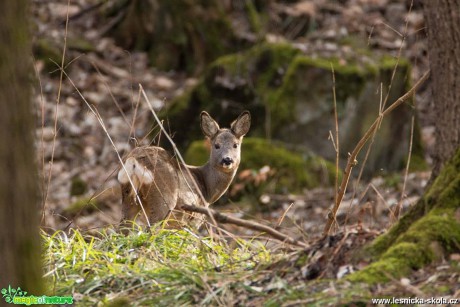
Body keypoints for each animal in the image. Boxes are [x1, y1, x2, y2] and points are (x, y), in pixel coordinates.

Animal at [117, 110, 250, 229]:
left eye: (235, 145)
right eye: (216, 145)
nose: (227, 160)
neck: (207, 187)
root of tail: (133, 160)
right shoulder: (193, 219)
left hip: (128, 199)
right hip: (164, 199)